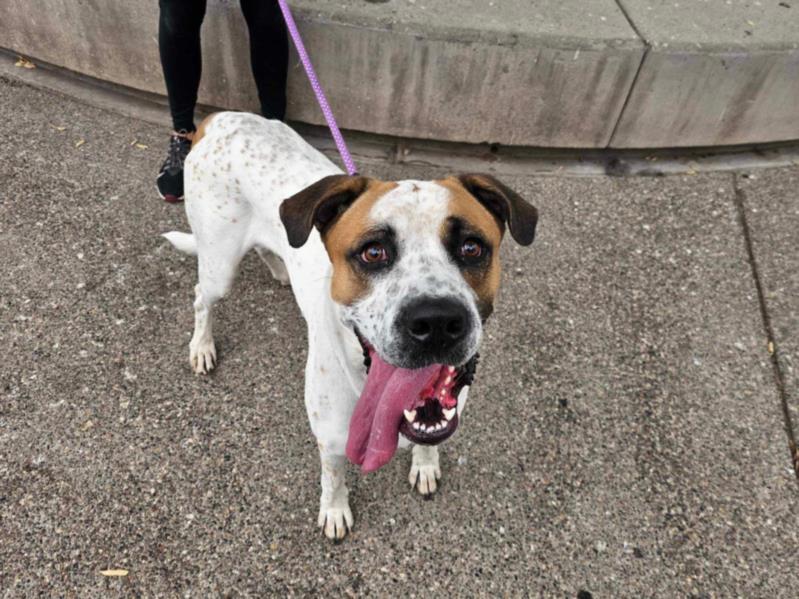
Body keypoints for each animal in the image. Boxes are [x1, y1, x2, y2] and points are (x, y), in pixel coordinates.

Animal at [162, 111, 536, 540]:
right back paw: (202, 347)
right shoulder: (331, 439)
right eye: (373, 252)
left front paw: (425, 464)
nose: (437, 321)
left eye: (472, 247)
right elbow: (333, 477)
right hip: (219, 266)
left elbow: (431, 441)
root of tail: (218, 118)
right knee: (201, 298)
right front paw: (335, 510)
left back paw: (279, 270)